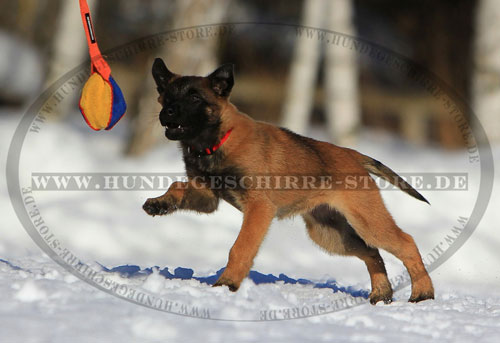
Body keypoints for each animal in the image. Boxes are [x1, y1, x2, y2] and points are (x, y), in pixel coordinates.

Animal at [144, 58, 434, 304]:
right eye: (166, 97)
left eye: (194, 97)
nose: (168, 112)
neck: (215, 142)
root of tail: (352, 154)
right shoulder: (208, 197)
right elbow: (178, 186)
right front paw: (160, 203)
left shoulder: (259, 208)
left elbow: (240, 248)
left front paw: (227, 285)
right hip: (329, 233)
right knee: (372, 253)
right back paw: (381, 294)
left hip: (367, 221)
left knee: (406, 242)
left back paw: (423, 294)